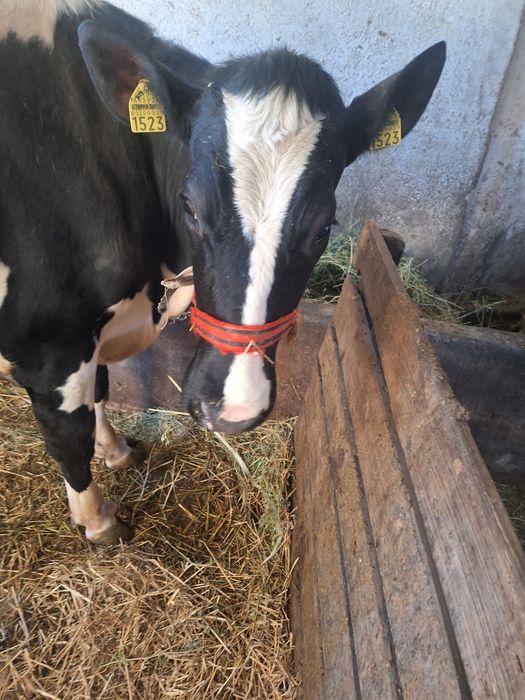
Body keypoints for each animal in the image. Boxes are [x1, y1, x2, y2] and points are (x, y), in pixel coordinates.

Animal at [0, 1, 446, 544]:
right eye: (190, 207)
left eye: (324, 227)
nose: (234, 408)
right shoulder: (51, 345)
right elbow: (69, 435)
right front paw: (99, 521)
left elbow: (101, 391)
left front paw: (117, 452)